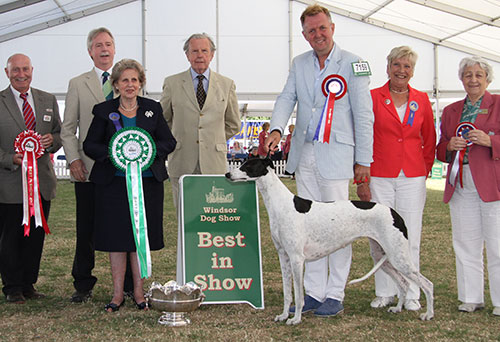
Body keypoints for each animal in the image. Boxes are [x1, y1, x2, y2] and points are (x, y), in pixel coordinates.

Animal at [227, 158, 434, 326]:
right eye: (242, 162)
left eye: (248, 165)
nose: (227, 174)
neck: (281, 204)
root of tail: (394, 213)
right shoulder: (283, 256)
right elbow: (287, 293)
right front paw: (284, 315)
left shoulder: (296, 259)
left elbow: (298, 295)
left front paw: (296, 319)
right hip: (383, 256)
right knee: (404, 283)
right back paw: (397, 308)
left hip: (398, 256)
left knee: (427, 284)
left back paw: (428, 314)